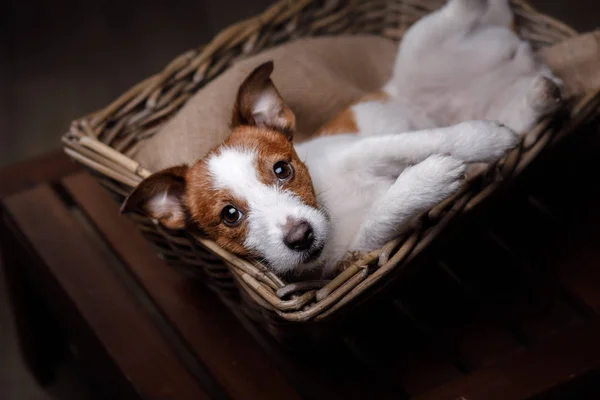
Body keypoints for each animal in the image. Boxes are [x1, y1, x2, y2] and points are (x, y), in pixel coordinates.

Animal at [122, 0, 564, 276]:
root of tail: (518, 53)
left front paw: (480, 140)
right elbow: (384, 213)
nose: (301, 237)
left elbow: (428, 139)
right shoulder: (361, 249)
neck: (331, 204)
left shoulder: (362, 149)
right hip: (499, 94)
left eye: (282, 170)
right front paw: (429, 180)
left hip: (421, 41)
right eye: (230, 215)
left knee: (464, 10)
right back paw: (541, 93)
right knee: (523, 105)